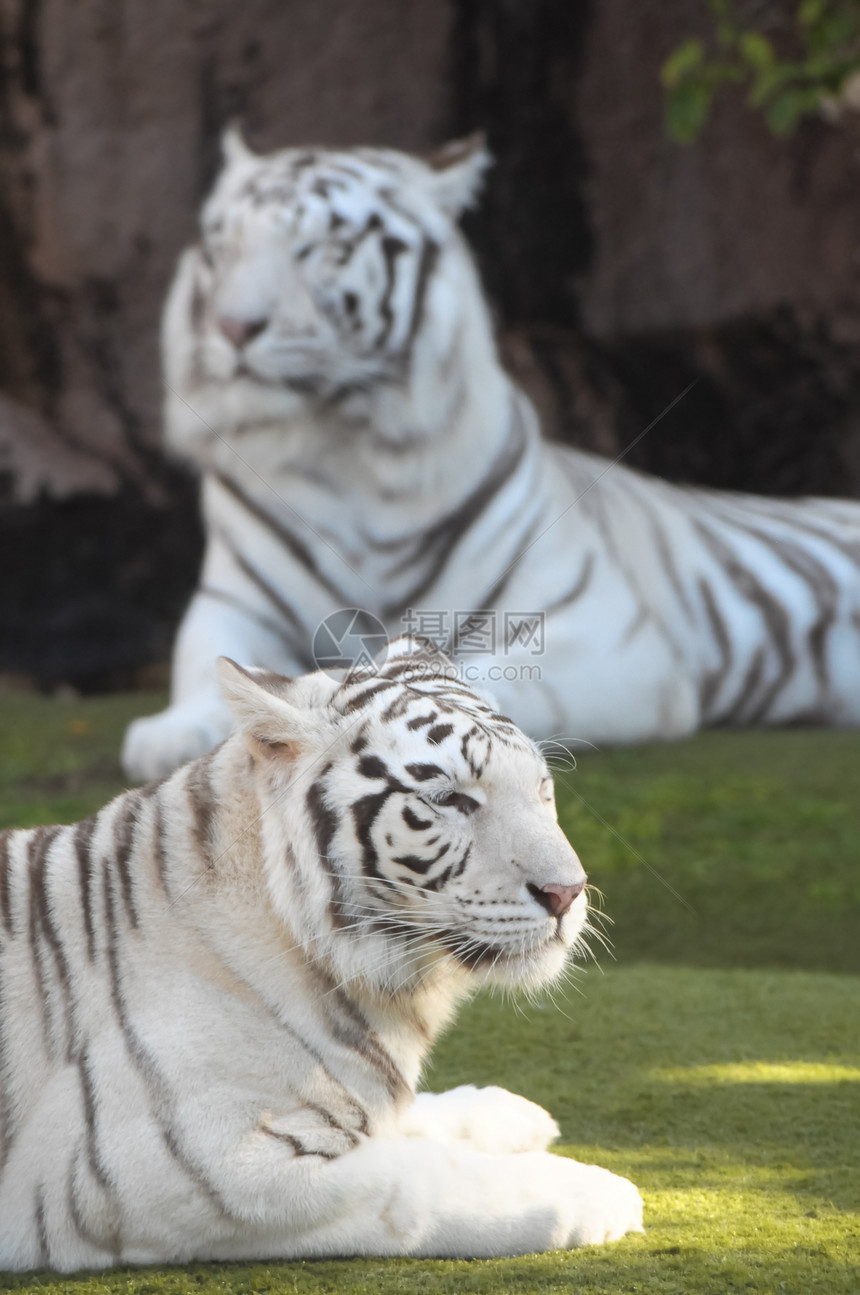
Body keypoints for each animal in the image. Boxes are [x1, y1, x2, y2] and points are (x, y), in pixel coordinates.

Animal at [0, 639, 642, 1274]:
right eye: (449, 799)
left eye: (541, 788)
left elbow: (405, 1120)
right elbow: (421, 1181)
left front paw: (510, 1113)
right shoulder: (184, 1172)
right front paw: (601, 1191)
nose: (567, 892)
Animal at [121, 128, 860, 777]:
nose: (232, 326)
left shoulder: (609, 635)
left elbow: (462, 678)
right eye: (221, 247)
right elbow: (208, 668)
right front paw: (170, 734)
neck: (344, 452)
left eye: (325, 247)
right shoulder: (232, 602)